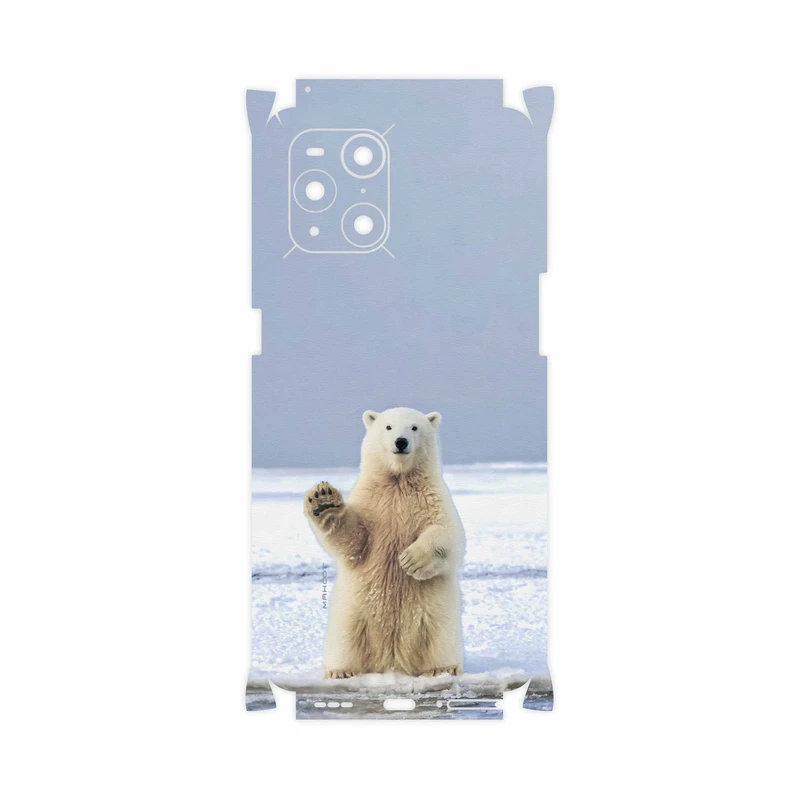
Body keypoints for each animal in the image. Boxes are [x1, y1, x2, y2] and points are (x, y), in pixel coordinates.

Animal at [304, 407, 465, 679]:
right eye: (388, 427)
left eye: (414, 427)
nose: (401, 442)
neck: (398, 480)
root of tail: (392, 662)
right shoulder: (372, 502)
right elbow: (353, 540)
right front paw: (323, 500)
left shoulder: (432, 498)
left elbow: (449, 533)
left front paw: (410, 560)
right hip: (353, 613)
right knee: (345, 639)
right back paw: (340, 671)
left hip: (437, 614)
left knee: (440, 637)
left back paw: (443, 668)